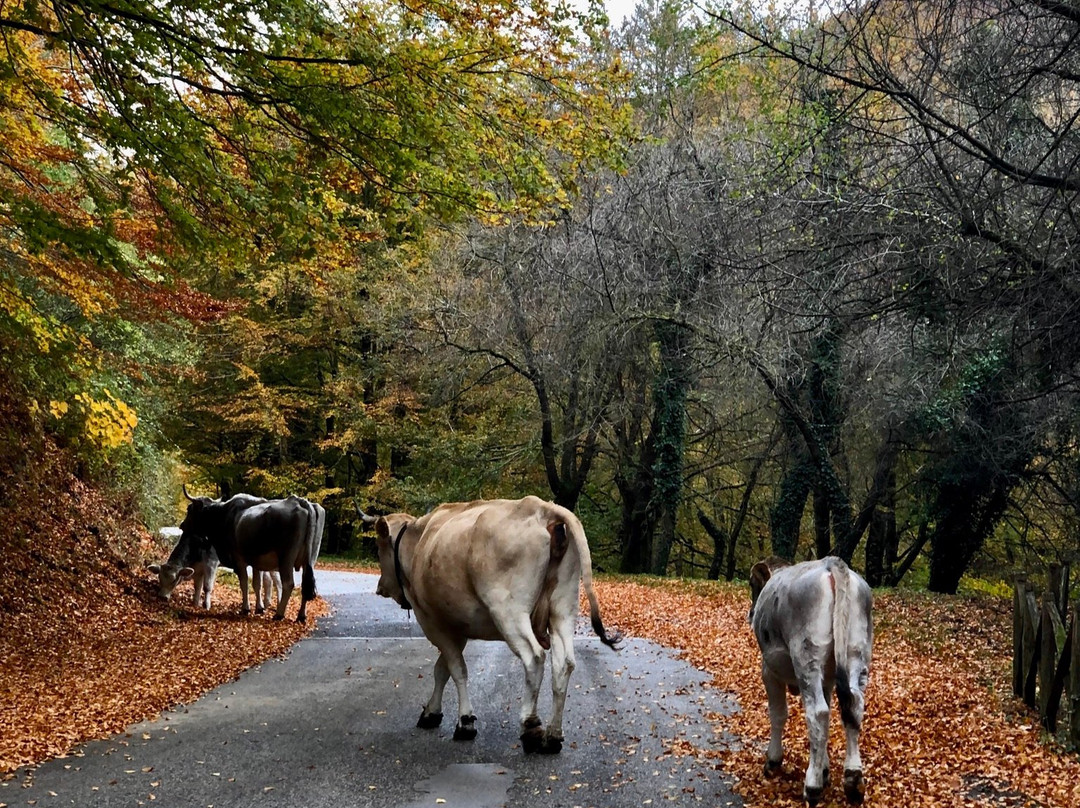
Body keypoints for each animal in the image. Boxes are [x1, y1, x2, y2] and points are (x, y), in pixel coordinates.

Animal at [365, 494, 622, 756]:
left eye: (379, 547)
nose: (380, 587)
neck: (420, 541)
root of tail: (541, 508)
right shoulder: (456, 628)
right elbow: (442, 669)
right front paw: (432, 712)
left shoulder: (434, 622)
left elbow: (456, 669)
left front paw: (465, 722)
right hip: (563, 608)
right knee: (564, 664)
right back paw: (553, 735)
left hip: (509, 610)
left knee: (534, 657)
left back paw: (530, 726)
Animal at [756, 557, 872, 803]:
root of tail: (832, 563)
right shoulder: (827, 680)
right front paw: (825, 770)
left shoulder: (769, 670)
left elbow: (778, 714)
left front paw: (773, 760)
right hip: (856, 653)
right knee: (853, 706)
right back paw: (853, 780)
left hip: (807, 656)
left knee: (818, 712)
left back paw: (812, 786)